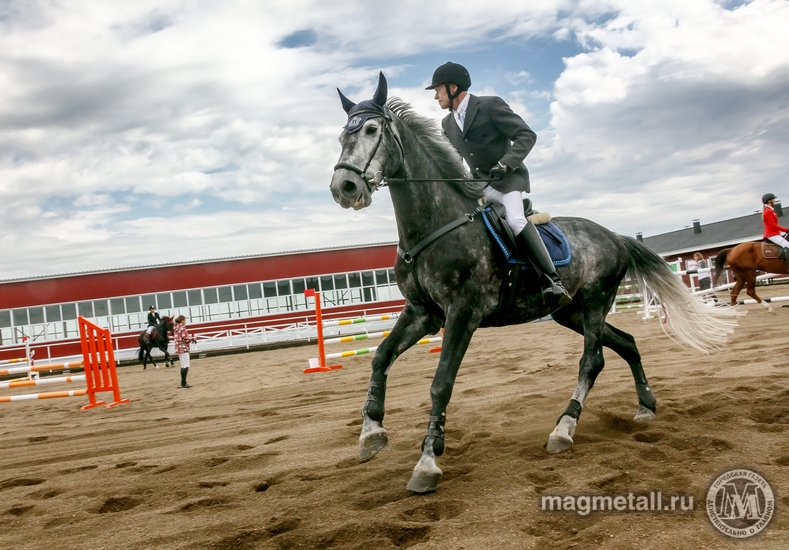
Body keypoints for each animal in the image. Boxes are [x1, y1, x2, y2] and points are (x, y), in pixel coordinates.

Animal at [328, 74, 740, 496]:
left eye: (372, 131)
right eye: (342, 136)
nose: (343, 187)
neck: (435, 226)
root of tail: (615, 236)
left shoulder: (462, 314)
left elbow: (441, 383)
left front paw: (427, 462)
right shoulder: (423, 313)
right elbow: (380, 357)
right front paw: (371, 433)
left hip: (595, 300)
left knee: (592, 361)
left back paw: (564, 428)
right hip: (569, 312)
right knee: (626, 342)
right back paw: (645, 406)